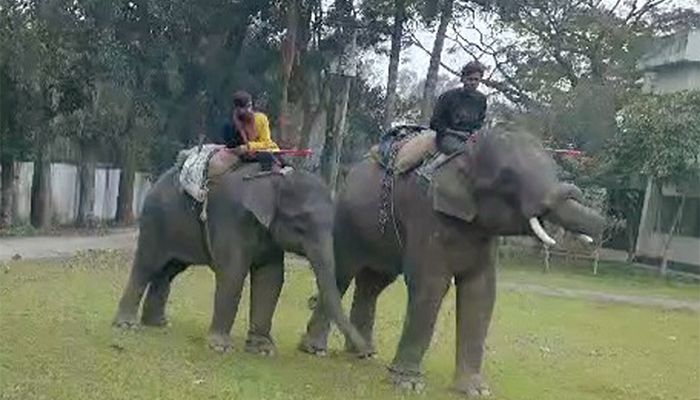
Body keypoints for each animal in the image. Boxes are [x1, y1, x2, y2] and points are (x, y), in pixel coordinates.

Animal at [112, 162, 370, 356]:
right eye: (300, 225)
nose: (367, 352)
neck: (273, 179)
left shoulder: (268, 235)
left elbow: (271, 277)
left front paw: (263, 349)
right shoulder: (231, 218)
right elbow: (233, 272)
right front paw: (220, 348)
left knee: (168, 271)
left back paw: (157, 324)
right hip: (155, 220)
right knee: (147, 265)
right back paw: (126, 325)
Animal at [300, 124, 608, 396]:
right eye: (506, 179)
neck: (463, 152)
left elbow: (481, 292)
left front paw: (475, 390)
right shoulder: (426, 214)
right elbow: (431, 286)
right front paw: (408, 384)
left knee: (373, 283)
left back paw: (364, 353)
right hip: (347, 222)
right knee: (341, 275)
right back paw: (315, 350)